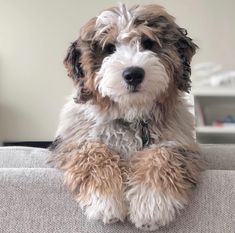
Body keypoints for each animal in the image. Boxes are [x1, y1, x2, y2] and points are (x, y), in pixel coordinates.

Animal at [49, 3, 202, 231]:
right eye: (109, 48)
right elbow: (93, 151)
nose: (133, 74)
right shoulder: (72, 142)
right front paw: (106, 201)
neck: (132, 116)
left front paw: (151, 204)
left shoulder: (182, 144)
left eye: (148, 43)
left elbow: (163, 153)